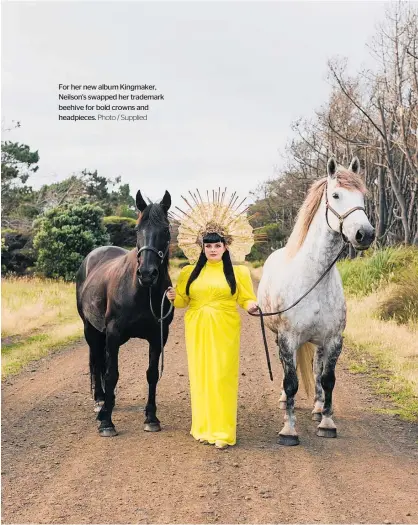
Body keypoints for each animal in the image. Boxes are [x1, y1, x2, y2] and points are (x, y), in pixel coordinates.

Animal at [76, 190, 172, 436]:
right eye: (137, 229)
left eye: (166, 229)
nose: (147, 273)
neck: (141, 291)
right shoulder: (113, 333)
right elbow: (112, 374)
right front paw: (106, 422)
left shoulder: (158, 336)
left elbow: (151, 374)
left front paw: (151, 418)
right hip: (91, 330)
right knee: (98, 361)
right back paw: (101, 401)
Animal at [258, 157, 376, 446]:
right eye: (335, 195)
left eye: (363, 197)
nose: (365, 234)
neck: (314, 280)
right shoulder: (288, 339)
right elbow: (291, 382)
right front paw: (288, 429)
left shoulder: (333, 340)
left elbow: (328, 379)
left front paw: (327, 422)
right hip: (279, 338)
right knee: (286, 372)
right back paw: (285, 401)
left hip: (319, 343)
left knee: (318, 372)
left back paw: (318, 407)